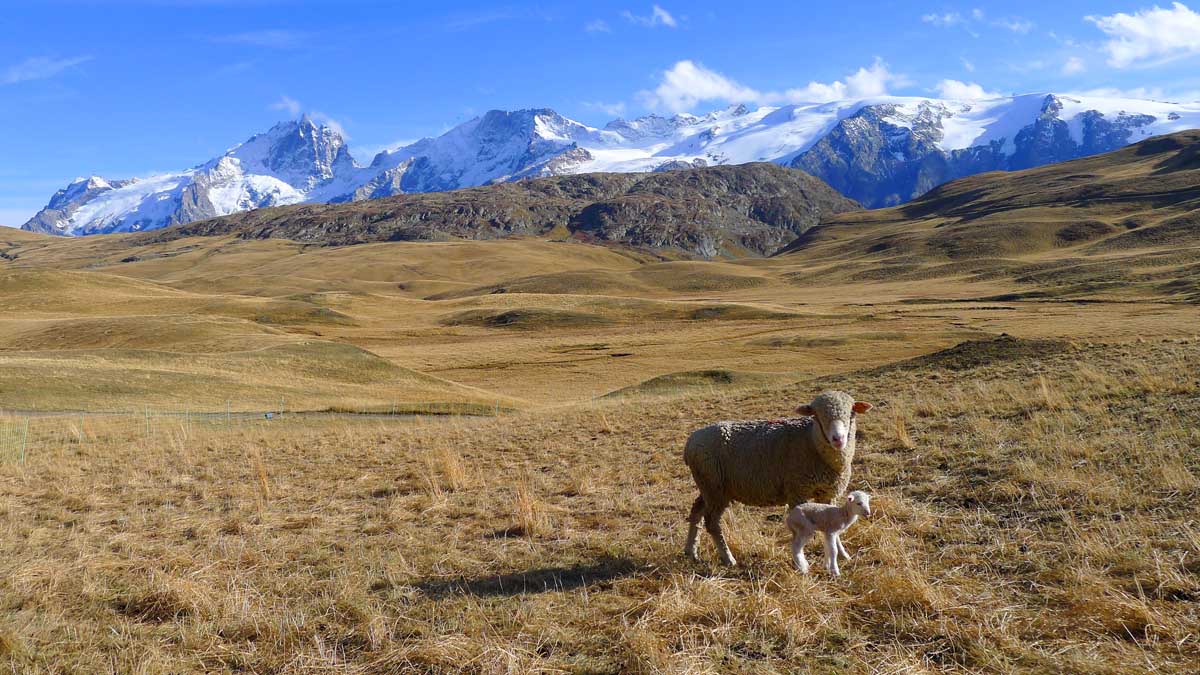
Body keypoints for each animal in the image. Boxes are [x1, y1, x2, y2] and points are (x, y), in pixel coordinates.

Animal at [686, 389, 873, 562]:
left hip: (708, 486)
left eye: (851, 413)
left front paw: (842, 554)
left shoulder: (828, 491)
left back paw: (691, 552)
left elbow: (832, 522)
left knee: (696, 511)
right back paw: (727, 558)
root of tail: (691, 442)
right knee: (712, 522)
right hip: (715, 487)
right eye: (817, 416)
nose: (838, 439)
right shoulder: (798, 491)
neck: (811, 441)